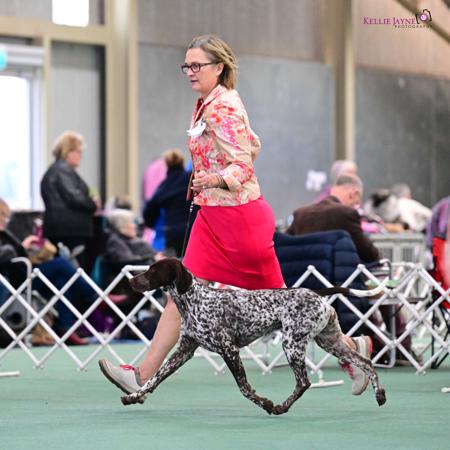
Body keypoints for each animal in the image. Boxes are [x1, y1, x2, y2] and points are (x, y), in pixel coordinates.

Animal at [121, 258, 386, 414]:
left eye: (153, 271)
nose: (131, 281)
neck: (193, 300)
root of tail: (317, 293)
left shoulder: (229, 350)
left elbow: (244, 388)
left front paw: (265, 403)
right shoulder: (184, 351)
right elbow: (154, 379)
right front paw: (133, 396)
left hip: (292, 344)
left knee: (304, 382)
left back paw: (280, 407)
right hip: (329, 341)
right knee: (366, 362)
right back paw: (379, 394)